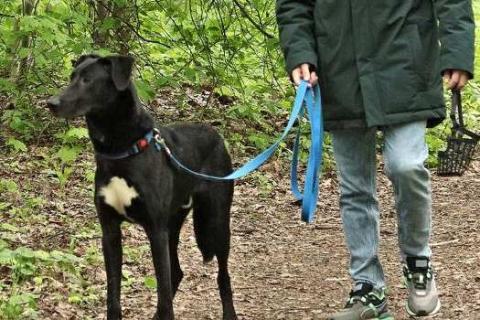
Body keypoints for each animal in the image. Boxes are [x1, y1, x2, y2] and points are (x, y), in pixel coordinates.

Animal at [46, 55, 237, 320]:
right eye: (71, 77)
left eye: (87, 80)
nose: (50, 103)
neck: (120, 151)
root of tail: (215, 133)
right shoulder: (110, 232)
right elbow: (113, 294)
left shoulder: (155, 230)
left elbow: (163, 295)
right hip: (173, 224)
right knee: (177, 271)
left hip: (216, 221)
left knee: (222, 275)